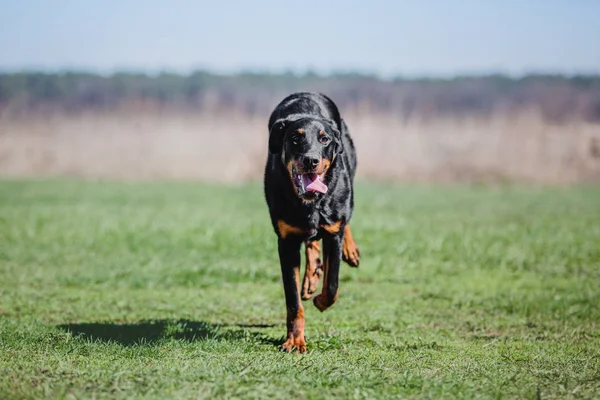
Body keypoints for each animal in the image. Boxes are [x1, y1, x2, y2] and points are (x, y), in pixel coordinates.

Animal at [264, 93, 358, 354]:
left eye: (324, 139)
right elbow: (293, 301)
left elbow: (332, 287)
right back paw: (311, 277)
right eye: (296, 138)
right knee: (311, 241)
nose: (311, 160)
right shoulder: (286, 242)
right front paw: (295, 340)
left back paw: (349, 250)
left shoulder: (333, 234)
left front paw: (320, 300)